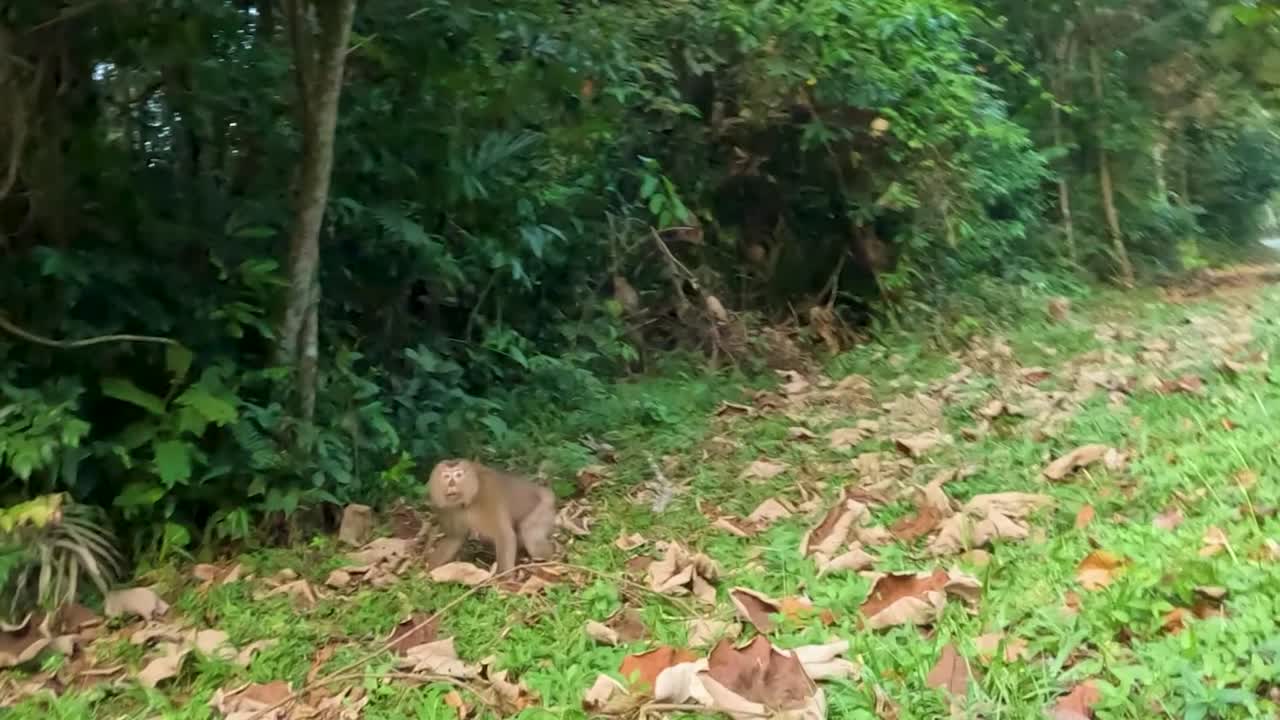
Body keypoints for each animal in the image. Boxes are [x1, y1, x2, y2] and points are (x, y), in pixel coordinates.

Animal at [426, 459, 557, 573]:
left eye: (459, 475)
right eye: (446, 476)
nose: (451, 484)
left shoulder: (488, 494)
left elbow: (504, 535)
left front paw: (504, 579)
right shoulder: (446, 509)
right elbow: (454, 538)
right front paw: (428, 570)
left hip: (543, 508)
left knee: (530, 535)